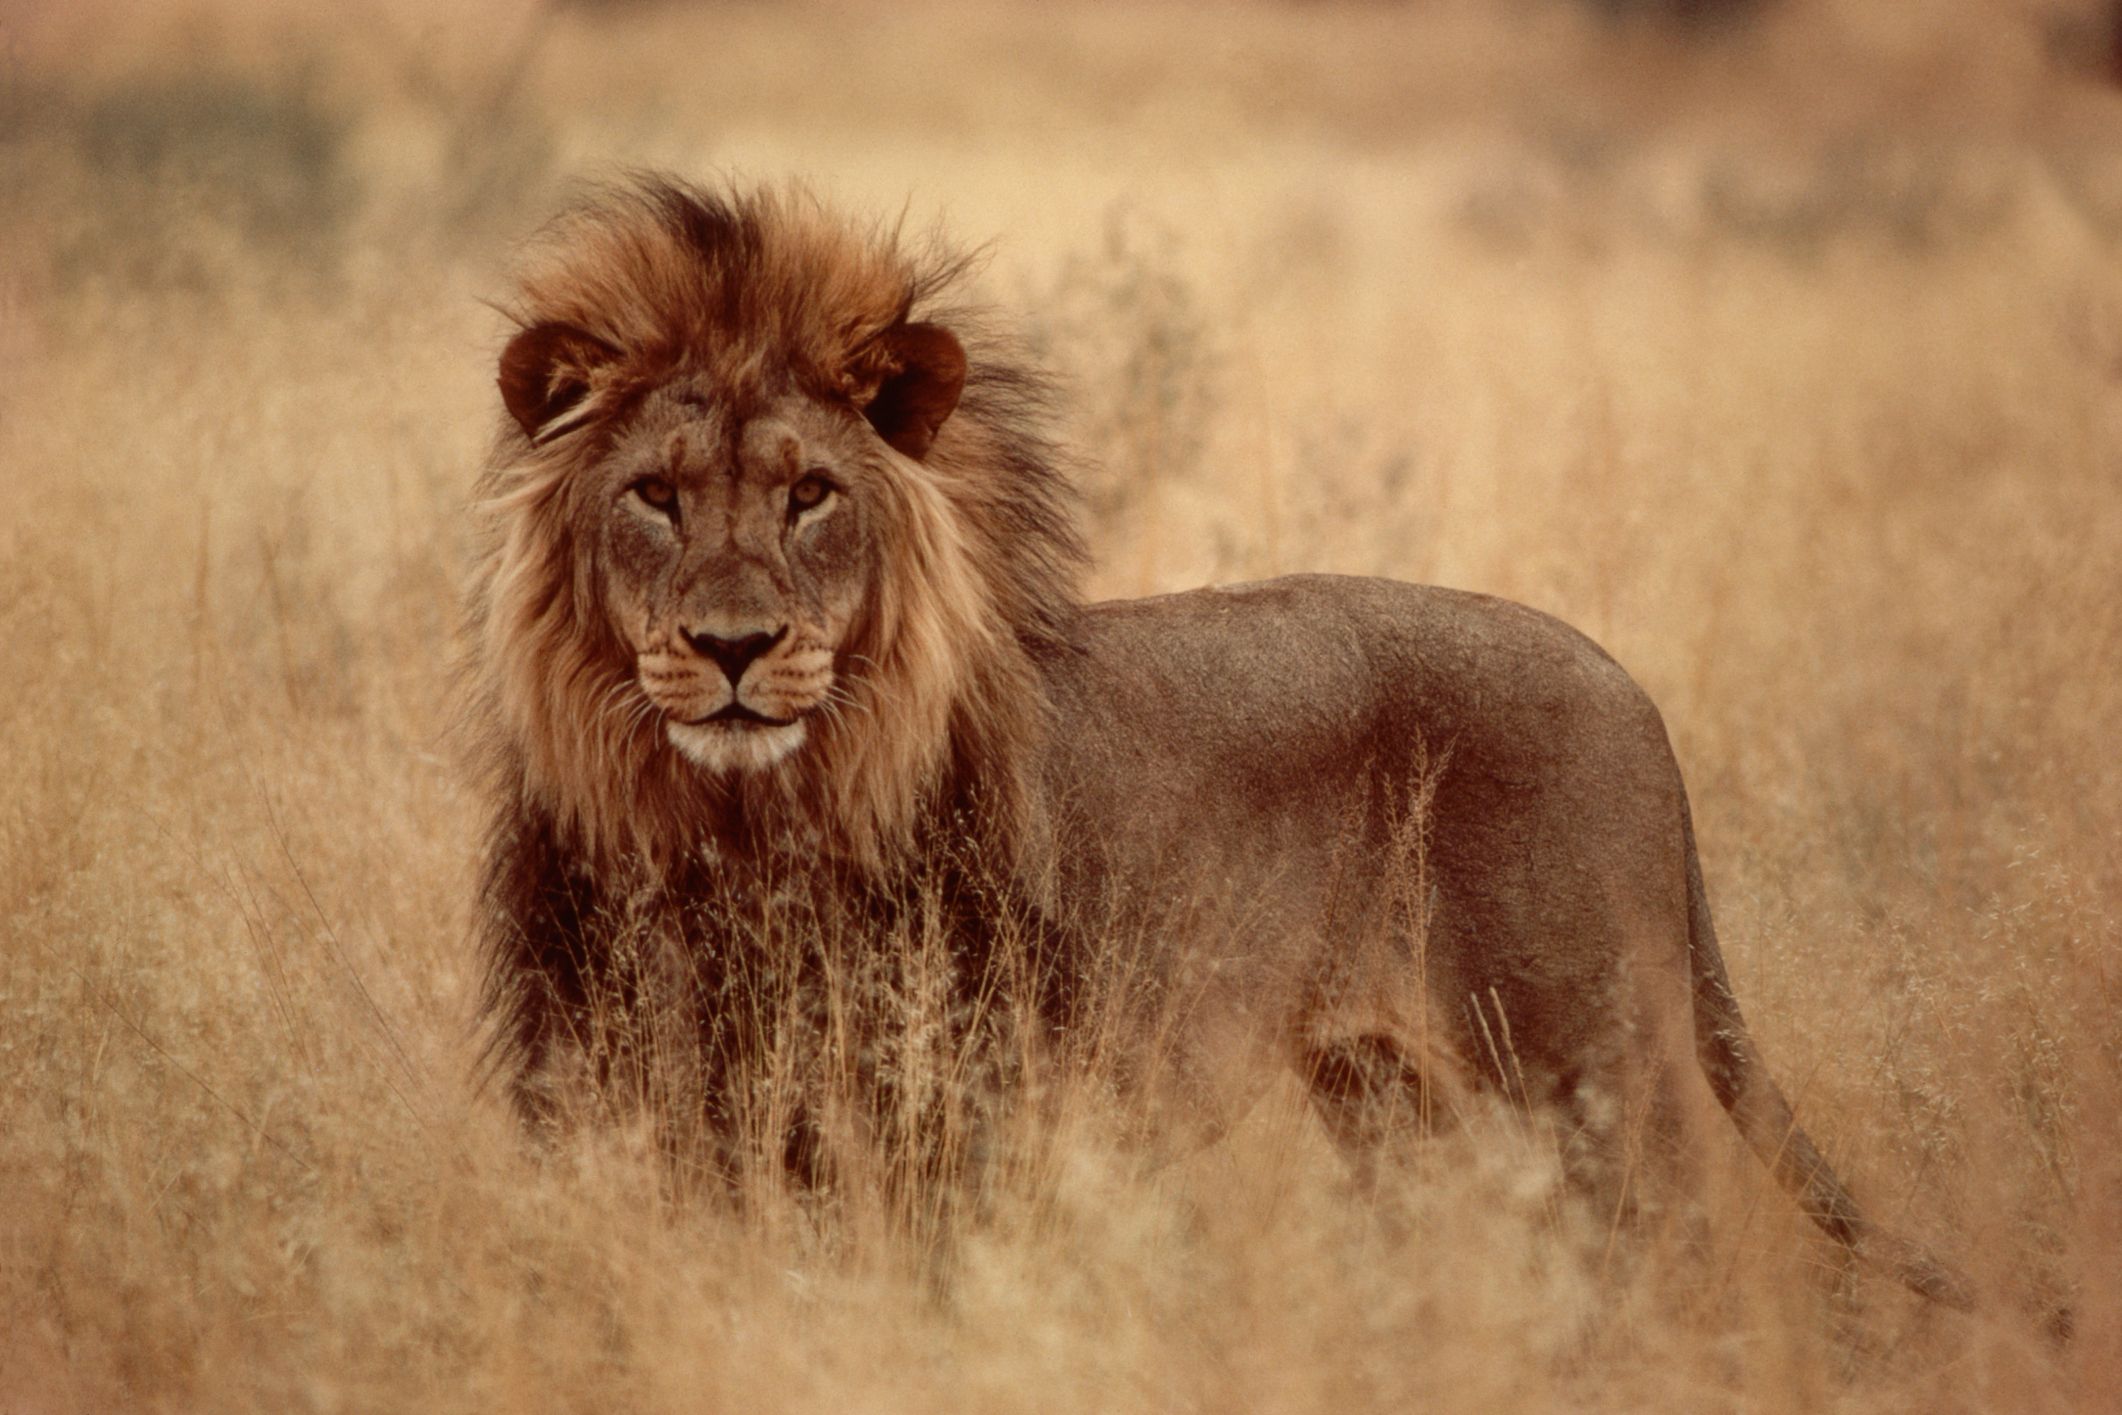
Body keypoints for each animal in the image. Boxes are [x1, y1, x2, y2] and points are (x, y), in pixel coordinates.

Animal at [468, 173, 1969, 1306]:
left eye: (810, 494)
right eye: (655, 495)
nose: (732, 646)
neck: (730, 828)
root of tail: (1623, 683)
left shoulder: (945, 1120)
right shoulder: (652, 1119)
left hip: (1598, 1061)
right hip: (1389, 1098)